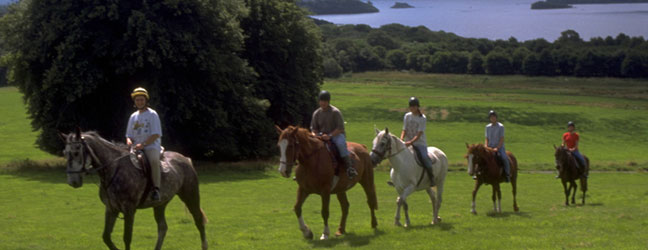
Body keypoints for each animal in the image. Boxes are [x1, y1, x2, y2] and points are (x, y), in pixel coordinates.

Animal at [62, 129, 206, 250]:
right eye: (65, 153)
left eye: (76, 152)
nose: (73, 181)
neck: (114, 168)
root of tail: (185, 159)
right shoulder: (111, 209)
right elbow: (106, 237)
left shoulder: (129, 210)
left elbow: (127, 238)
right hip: (160, 204)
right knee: (162, 227)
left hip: (190, 196)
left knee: (199, 220)